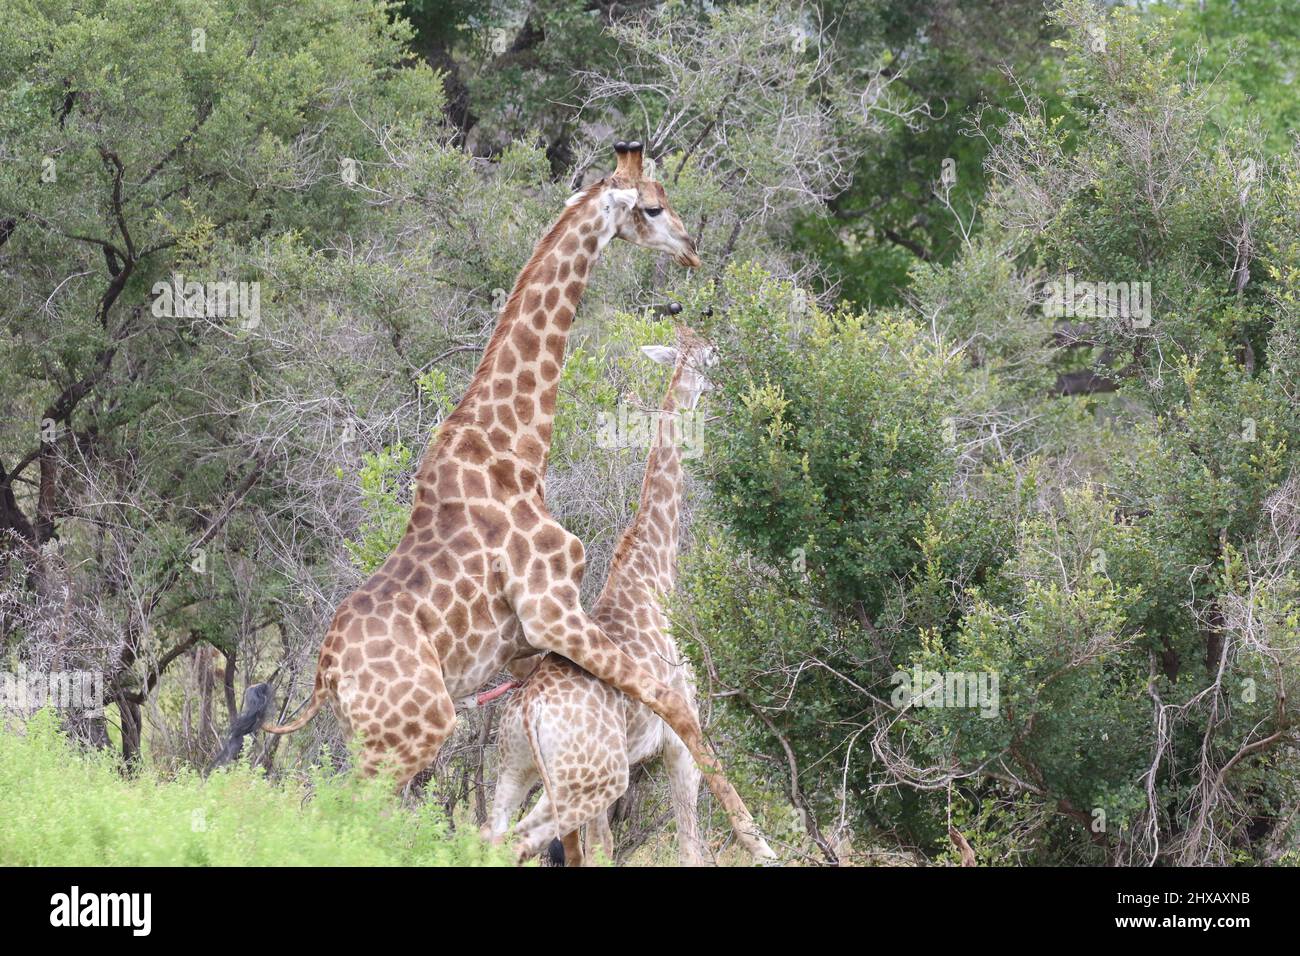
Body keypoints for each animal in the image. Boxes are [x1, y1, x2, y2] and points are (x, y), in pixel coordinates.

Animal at [487, 330, 715, 866]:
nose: (716, 384)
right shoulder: (679, 740)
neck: (653, 576)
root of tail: (529, 710)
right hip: (591, 778)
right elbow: (687, 844)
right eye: (709, 355)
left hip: (518, 769)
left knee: (489, 836)